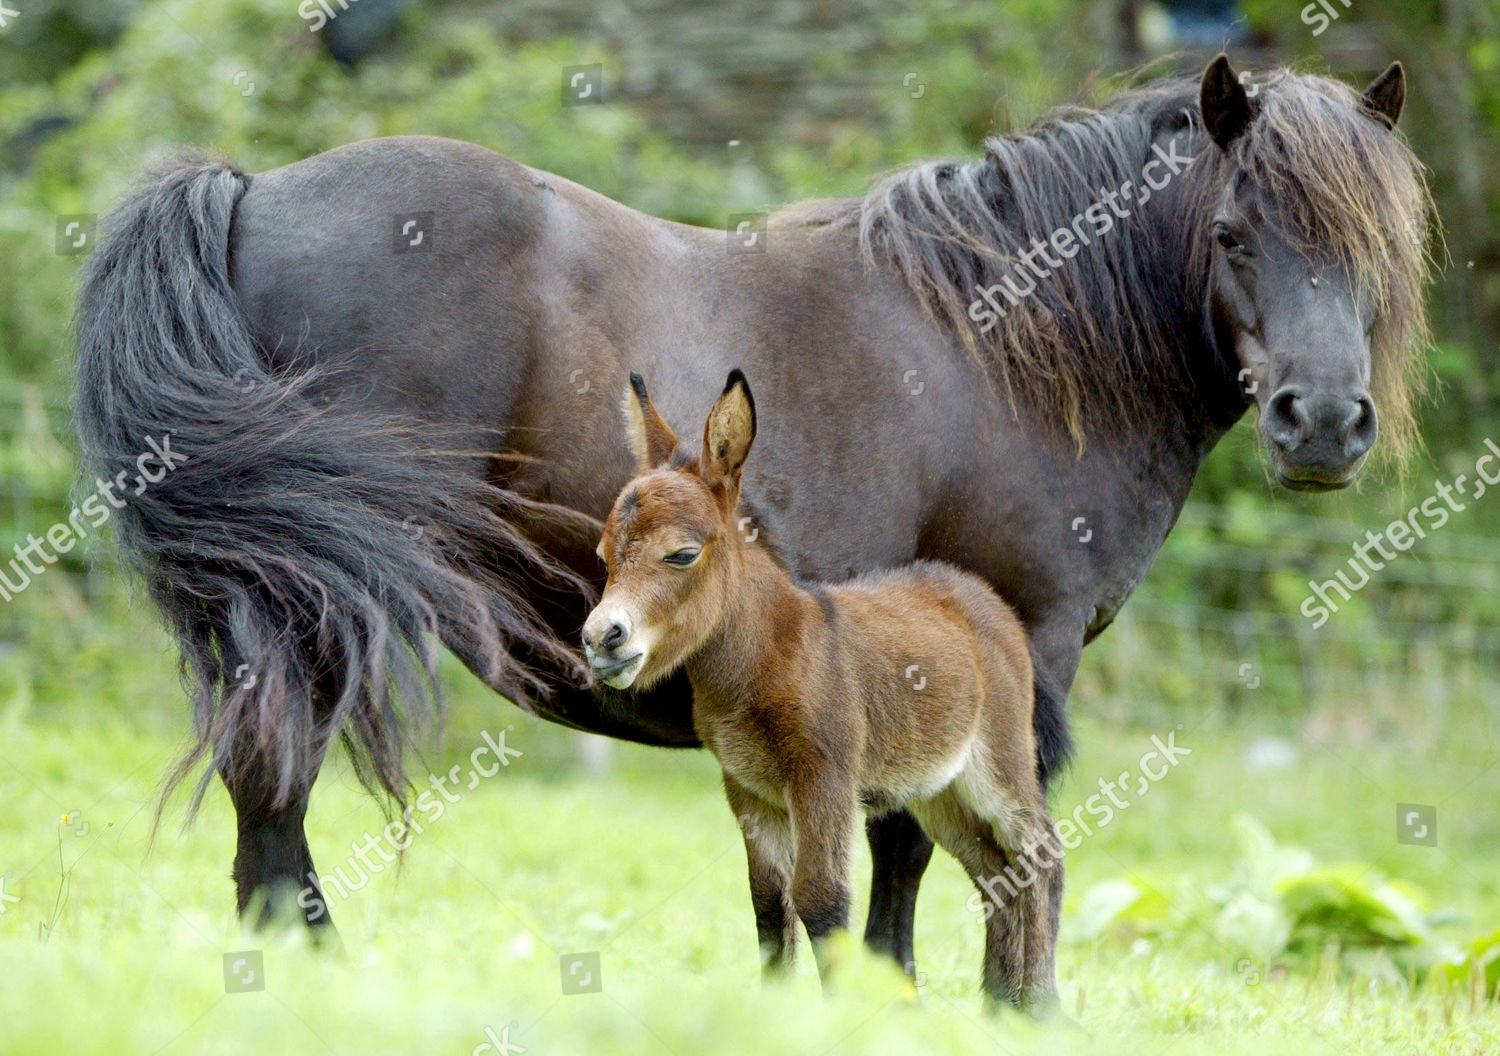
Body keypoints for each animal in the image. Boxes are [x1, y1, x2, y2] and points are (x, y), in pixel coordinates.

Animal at [579, 369, 1062, 1008]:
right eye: (606, 554)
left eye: (682, 555)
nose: (599, 639)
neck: (768, 655)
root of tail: (985, 601)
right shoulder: (749, 789)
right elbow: (767, 903)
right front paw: (775, 1010)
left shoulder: (824, 778)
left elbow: (821, 899)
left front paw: (832, 1014)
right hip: (941, 790)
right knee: (995, 869)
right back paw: (1000, 1009)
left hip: (998, 766)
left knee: (1040, 853)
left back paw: (1039, 1008)